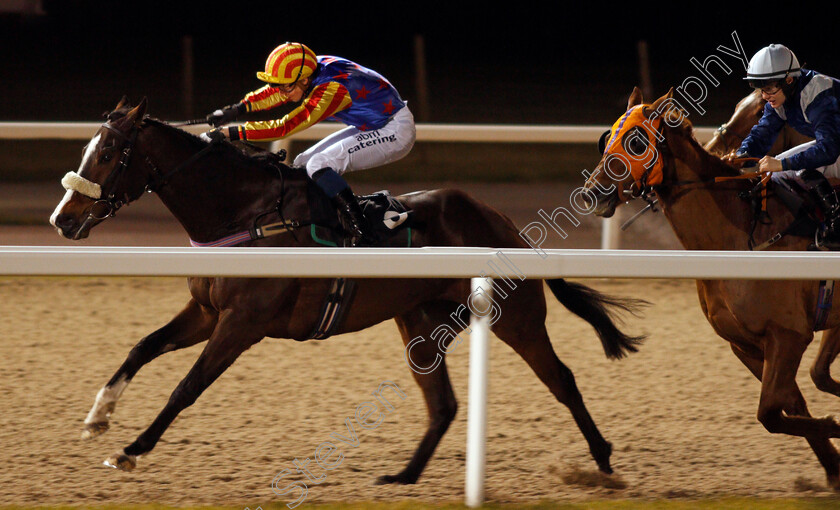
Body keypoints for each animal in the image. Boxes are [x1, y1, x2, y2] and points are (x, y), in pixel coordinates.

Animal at [49, 98, 648, 482]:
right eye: (87, 150)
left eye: (107, 155)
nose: (62, 219)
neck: (244, 212)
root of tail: (506, 224)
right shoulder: (205, 309)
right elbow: (142, 346)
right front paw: (98, 417)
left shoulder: (242, 322)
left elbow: (186, 387)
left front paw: (131, 450)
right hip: (421, 322)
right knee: (443, 403)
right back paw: (403, 477)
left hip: (514, 316)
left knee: (561, 379)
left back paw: (602, 459)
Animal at [580, 87, 840, 490]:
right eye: (606, 138)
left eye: (636, 141)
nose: (593, 193)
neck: (741, 238)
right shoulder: (746, 344)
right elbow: (787, 408)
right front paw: (833, 466)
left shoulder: (789, 335)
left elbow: (770, 412)